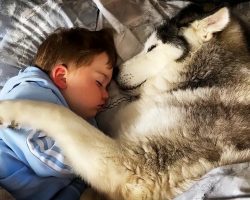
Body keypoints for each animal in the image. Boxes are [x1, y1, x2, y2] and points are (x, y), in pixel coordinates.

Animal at [0, 3, 250, 200]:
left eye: (152, 47)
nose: (116, 71)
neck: (204, 79)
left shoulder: (133, 167)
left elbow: (57, 113)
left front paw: (8, 109)